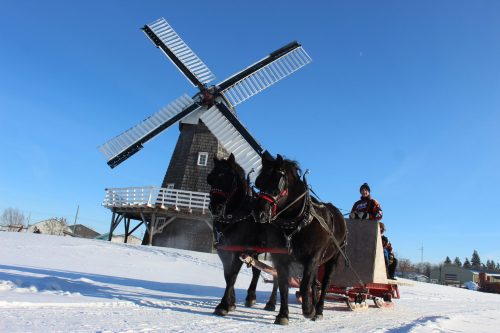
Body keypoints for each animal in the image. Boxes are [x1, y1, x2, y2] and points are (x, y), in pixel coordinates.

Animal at [206, 153, 280, 314]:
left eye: (230, 179)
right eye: (210, 178)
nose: (215, 208)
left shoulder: (239, 249)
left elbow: (233, 275)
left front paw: (223, 305)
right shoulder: (224, 250)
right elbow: (227, 275)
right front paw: (231, 302)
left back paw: (271, 303)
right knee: (257, 271)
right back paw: (251, 296)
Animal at [256, 154, 346, 324]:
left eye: (276, 183)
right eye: (259, 183)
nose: (258, 213)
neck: (297, 224)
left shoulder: (313, 257)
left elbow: (304, 285)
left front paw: (308, 310)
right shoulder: (281, 258)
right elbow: (284, 284)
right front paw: (283, 315)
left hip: (332, 259)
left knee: (325, 284)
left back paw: (318, 310)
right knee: (315, 284)